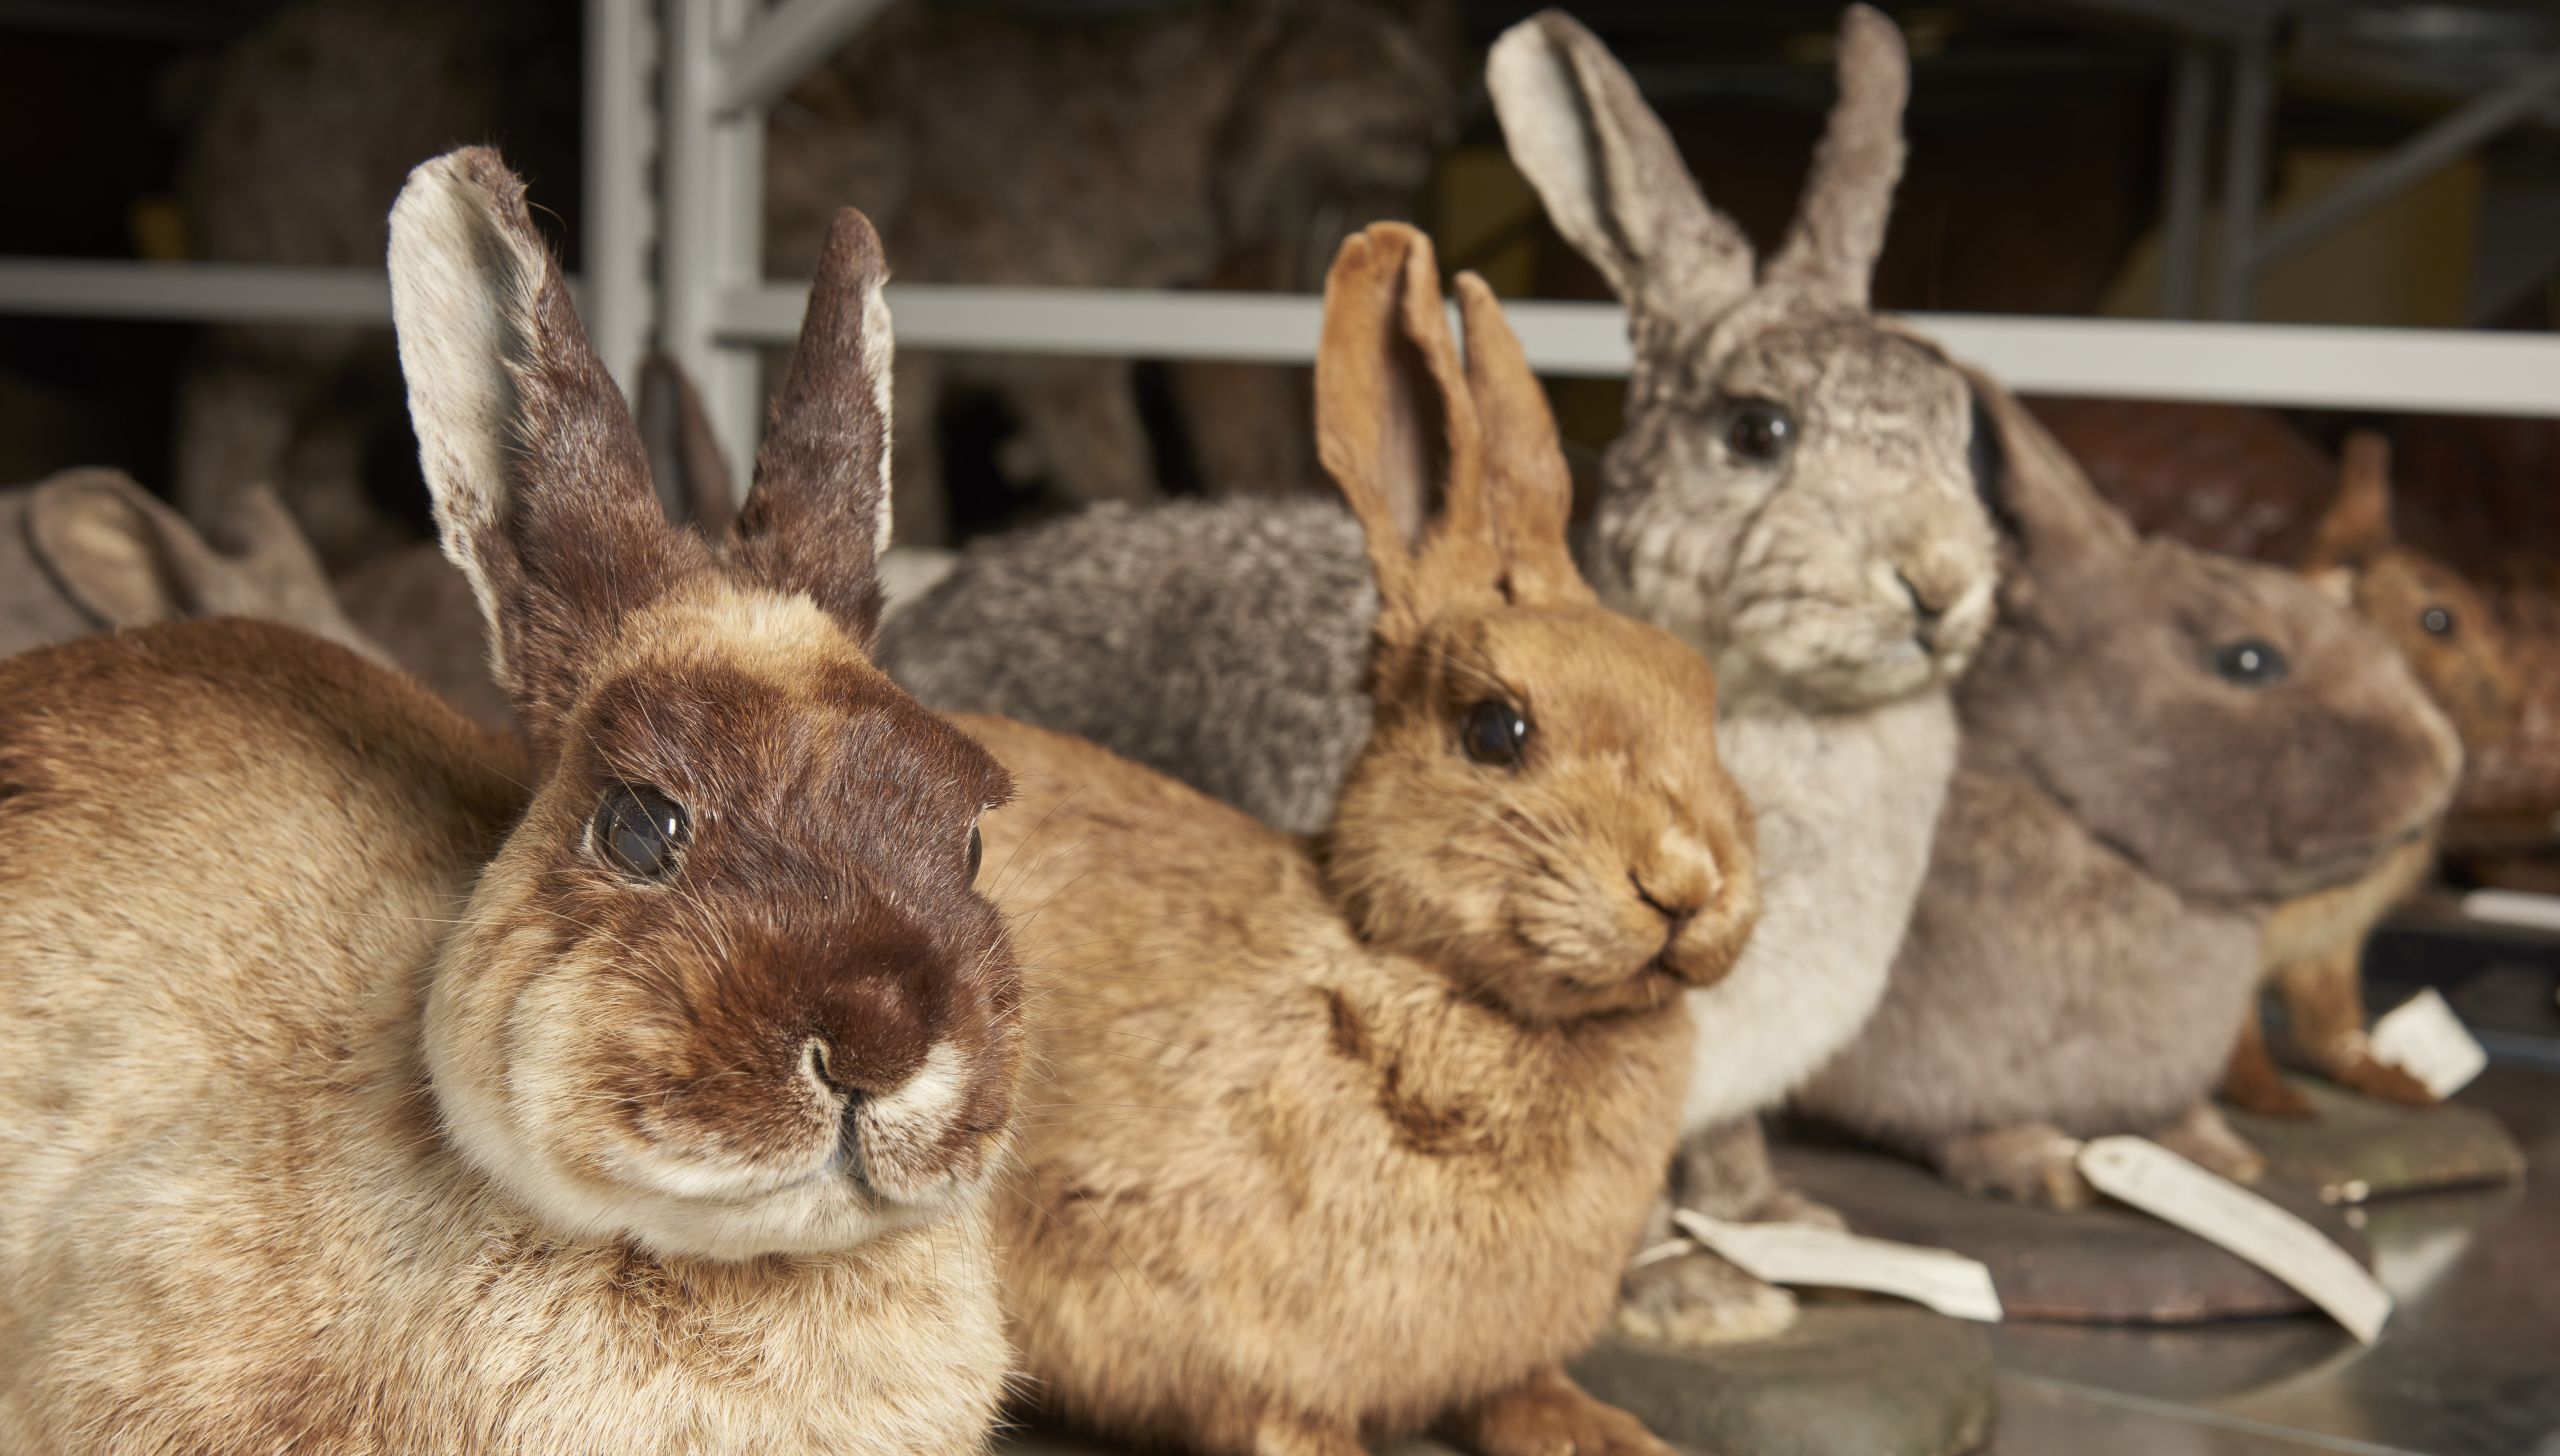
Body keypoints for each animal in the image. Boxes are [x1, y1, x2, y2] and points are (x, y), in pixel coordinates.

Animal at [2222, 432, 2519, 1110]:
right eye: (2439, 620)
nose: (2510, 704)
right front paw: (2269, 1097)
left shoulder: (2334, 941)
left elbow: (2336, 1022)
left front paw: (2394, 1082)